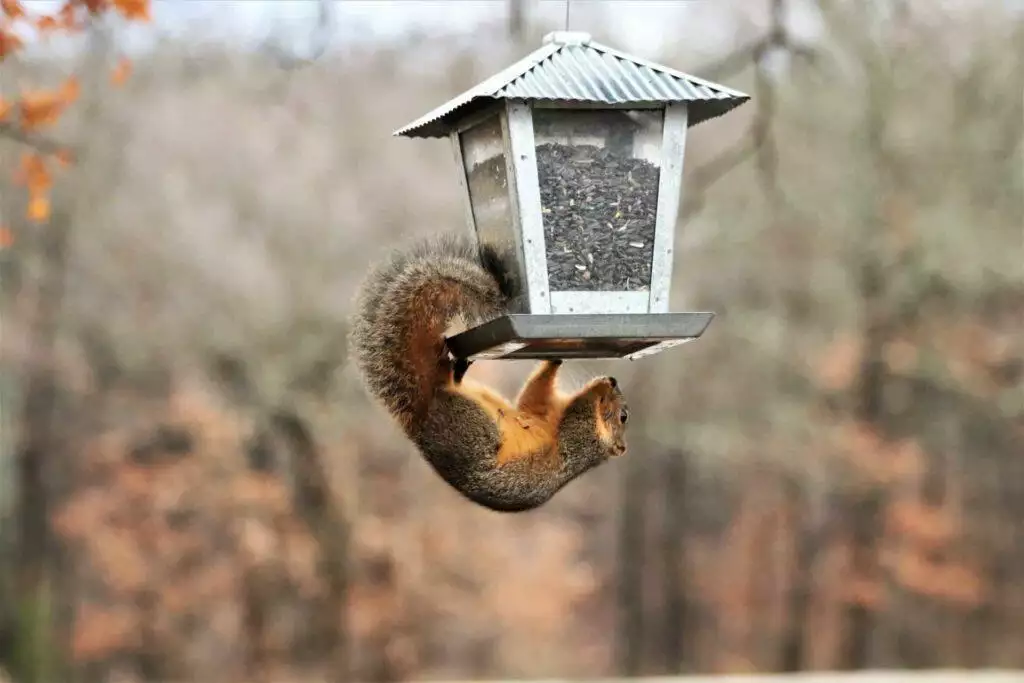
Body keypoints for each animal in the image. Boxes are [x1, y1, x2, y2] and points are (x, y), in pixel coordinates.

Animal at [349, 234, 630, 513]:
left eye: (623, 416)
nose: (612, 381)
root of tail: (424, 413)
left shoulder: (580, 436)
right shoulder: (542, 410)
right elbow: (533, 398)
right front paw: (555, 359)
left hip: (471, 425)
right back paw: (458, 366)